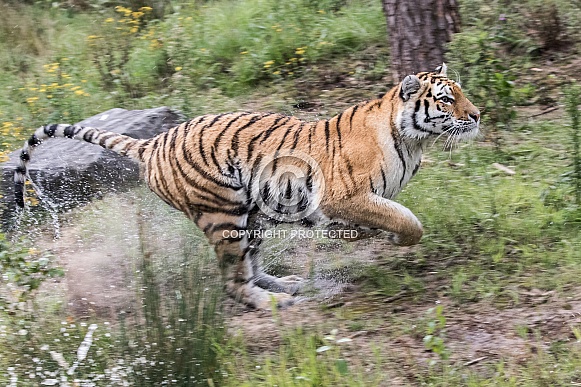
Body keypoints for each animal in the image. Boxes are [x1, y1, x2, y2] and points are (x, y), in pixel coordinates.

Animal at [13, 64, 480, 312]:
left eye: (462, 93)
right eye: (446, 99)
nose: (477, 115)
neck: (412, 142)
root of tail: (152, 142)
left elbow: (385, 217)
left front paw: (372, 235)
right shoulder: (344, 196)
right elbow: (407, 220)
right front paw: (397, 239)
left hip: (255, 213)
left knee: (252, 266)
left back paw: (289, 284)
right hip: (224, 214)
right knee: (234, 281)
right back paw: (275, 303)